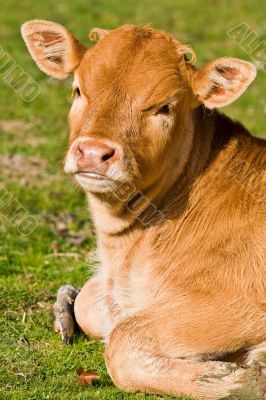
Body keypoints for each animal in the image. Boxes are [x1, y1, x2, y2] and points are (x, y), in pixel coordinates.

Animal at [21, 20, 264, 398]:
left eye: (164, 107)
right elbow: (91, 302)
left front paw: (236, 378)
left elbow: (122, 342)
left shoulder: (243, 302)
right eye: (78, 90)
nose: (93, 152)